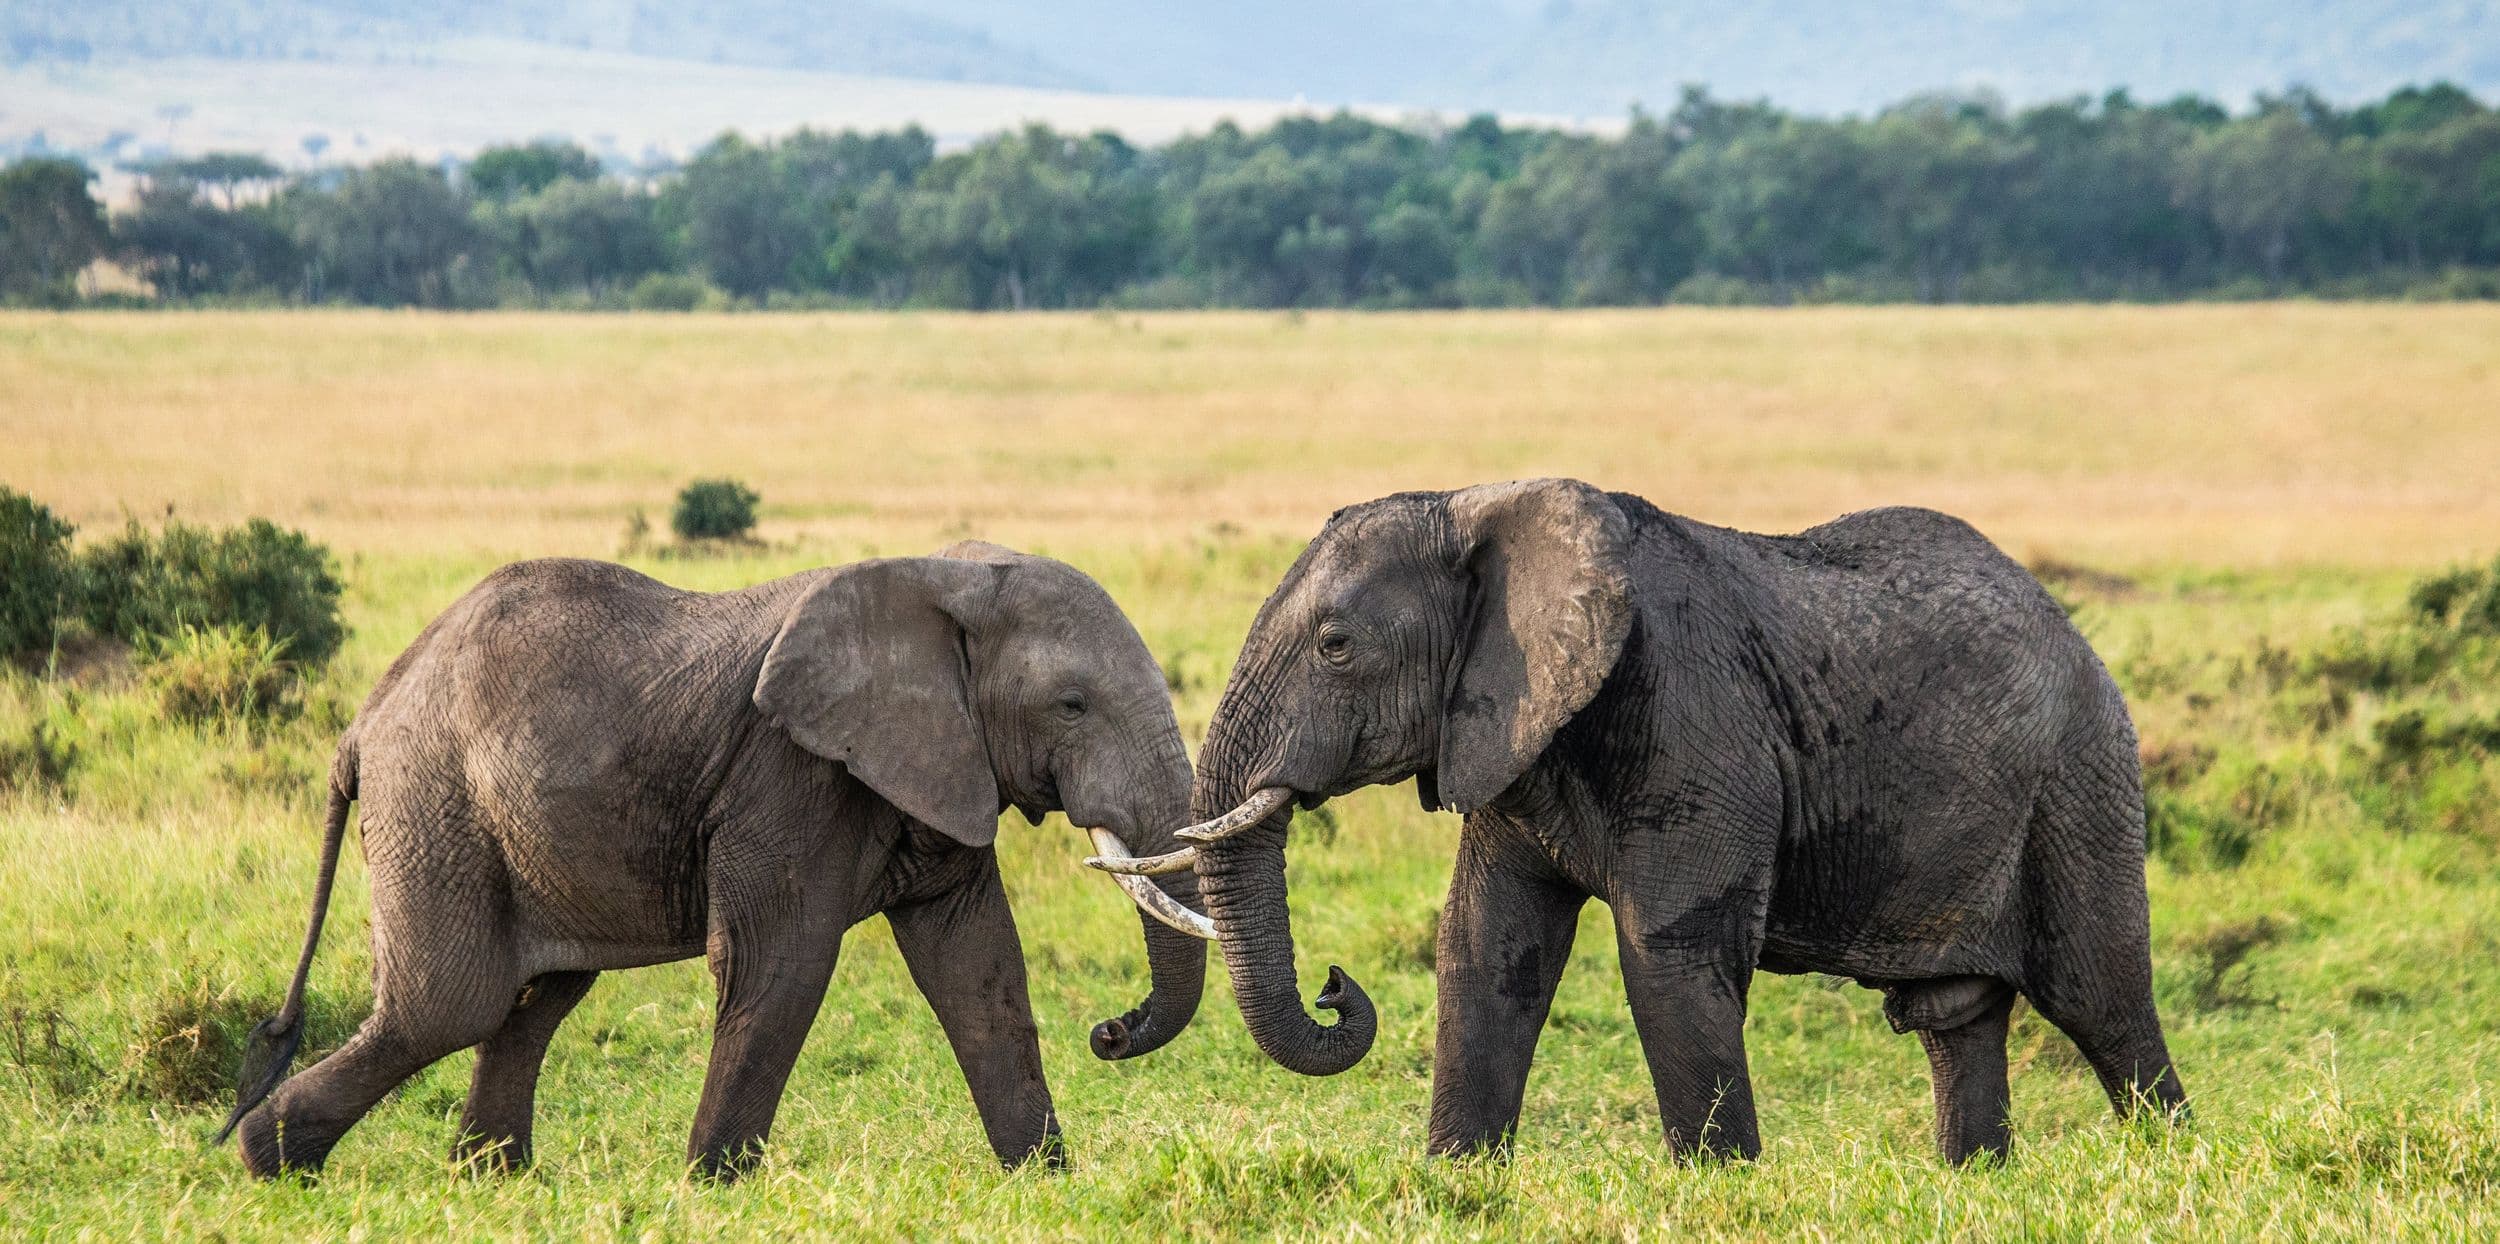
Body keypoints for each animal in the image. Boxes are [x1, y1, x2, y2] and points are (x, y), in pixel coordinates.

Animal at [217, 541, 1216, 1181]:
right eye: (1073, 706)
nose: (1111, 1030)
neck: (944, 576)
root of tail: (363, 722)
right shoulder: (788, 774)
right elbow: (784, 965)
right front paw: (712, 1188)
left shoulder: (940, 769)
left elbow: (979, 968)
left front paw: (1043, 1182)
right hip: (437, 803)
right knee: (449, 1004)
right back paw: (271, 1162)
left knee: (533, 1000)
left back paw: (488, 1179)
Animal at [1140, 479, 2187, 1164]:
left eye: (1336, 645)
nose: (1333, 986)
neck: (1477, 504)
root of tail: (2073, 633)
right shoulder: (1510, 733)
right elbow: (1486, 947)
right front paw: (1458, 1184)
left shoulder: (1691, 721)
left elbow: (1668, 954)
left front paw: (1723, 1187)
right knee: (1954, 1014)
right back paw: (1972, 1179)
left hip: (2079, 779)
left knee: (2102, 997)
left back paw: (2170, 1160)